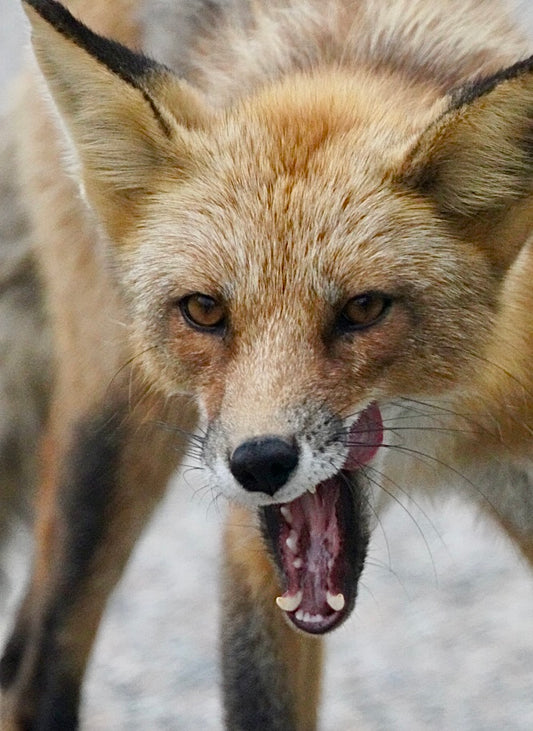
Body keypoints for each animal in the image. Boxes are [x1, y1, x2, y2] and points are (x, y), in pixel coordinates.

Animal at [0, 0, 532, 727]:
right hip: (110, 435)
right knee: (35, 665)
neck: (461, 424)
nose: (258, 463)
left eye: (364, 308)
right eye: (203, 309)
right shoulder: (250, 555)